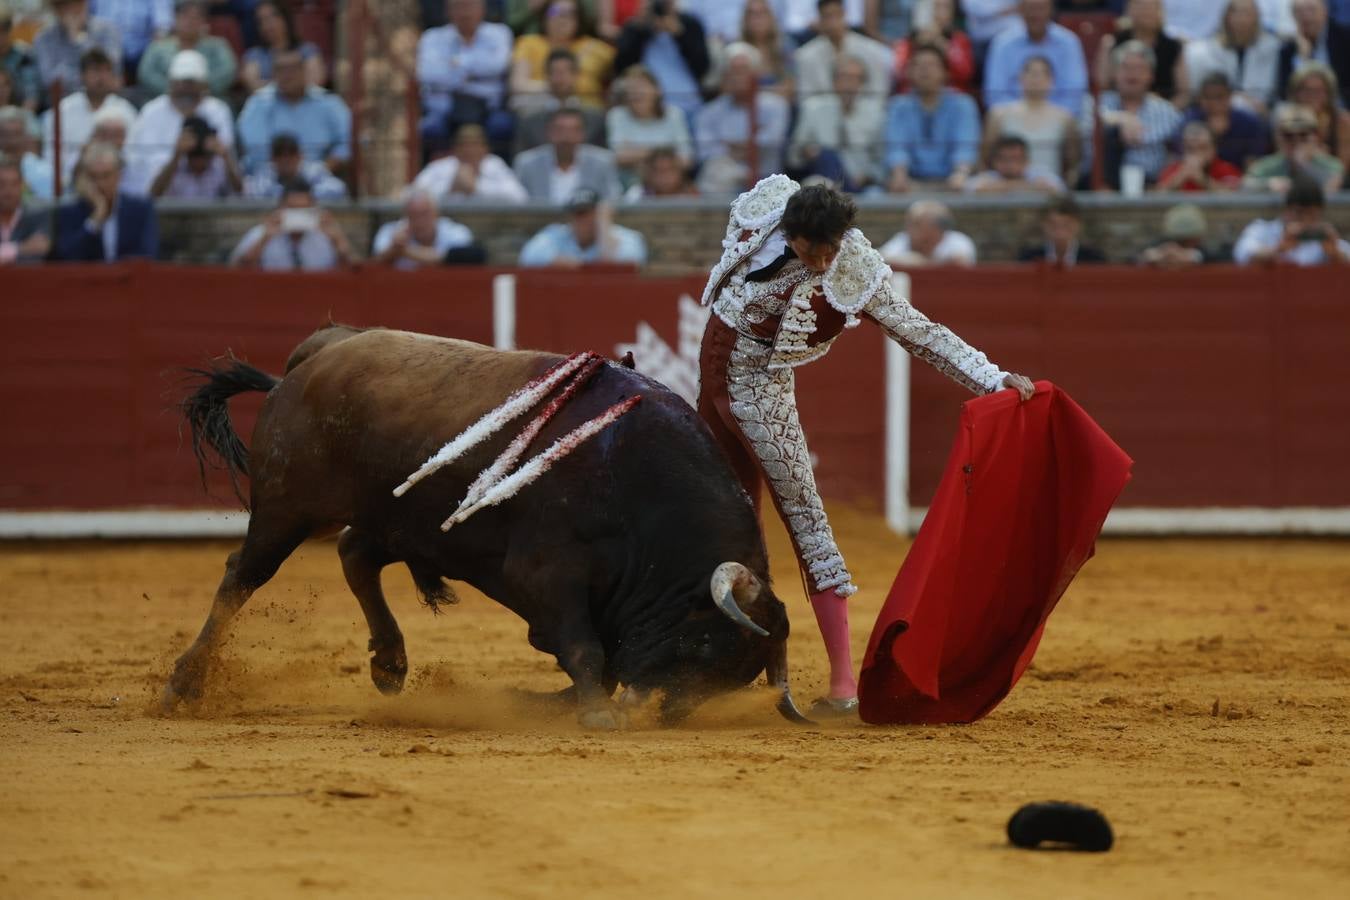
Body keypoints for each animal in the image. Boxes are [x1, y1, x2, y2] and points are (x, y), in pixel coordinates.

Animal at [163, 327, 804, 728]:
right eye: (704, 644)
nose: (659, 713)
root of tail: (313, 360)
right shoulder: (547, 577)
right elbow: (585, 649)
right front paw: (594, 712)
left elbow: (592, 658)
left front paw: (545, 702)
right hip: (286, 508)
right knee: (243, 576)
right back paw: (182, 685)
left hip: (398, 519)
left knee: (355, 555)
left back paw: (390, 664)